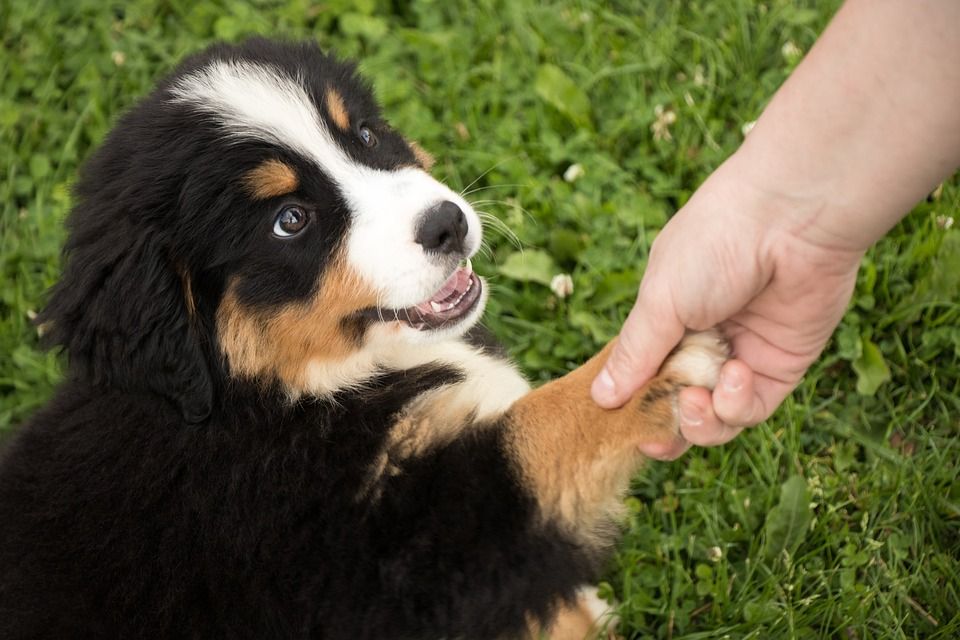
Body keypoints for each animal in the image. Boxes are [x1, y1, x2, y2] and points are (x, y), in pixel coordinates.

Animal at [0, 40, 724, 640]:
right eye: (290, 220)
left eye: (368, 135)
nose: (447, 223)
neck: (273, 397)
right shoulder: (383, 567)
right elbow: (528, 441)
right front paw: (646, 372)